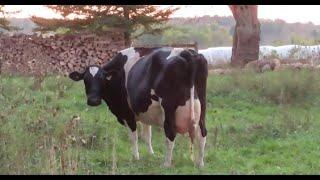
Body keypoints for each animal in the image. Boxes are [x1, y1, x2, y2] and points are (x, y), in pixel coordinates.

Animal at [69, 46, 209, 167]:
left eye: (102, 79)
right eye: (85, 80)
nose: (93, 100)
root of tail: (185, 52)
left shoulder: (127, 114)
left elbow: (134, 137)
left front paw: (135, 157)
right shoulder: (145, 112)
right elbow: (147, 136)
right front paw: (151, 154)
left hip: (169, 108)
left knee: (170, 133)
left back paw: (166, 164)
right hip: (202, 105)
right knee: (202, 132)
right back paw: (200, 164)